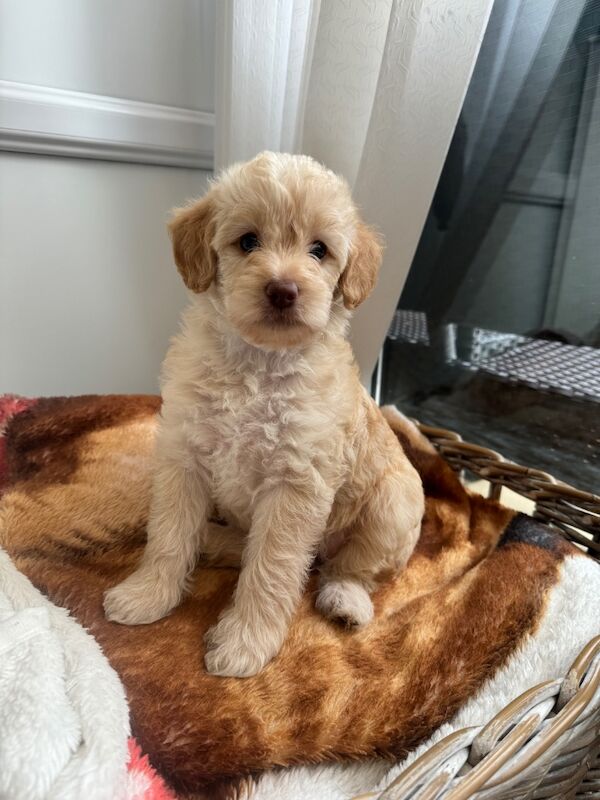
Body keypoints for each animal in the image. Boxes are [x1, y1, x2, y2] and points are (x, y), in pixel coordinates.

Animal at [105, 152, 426, 676]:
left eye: (319, 250)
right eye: (248, 241)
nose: (283, 290)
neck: (257, 364)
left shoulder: (294, 483)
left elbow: (271, 567)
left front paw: (245, 644)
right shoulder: (183, 457)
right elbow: (169, 536)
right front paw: (146, 595)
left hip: (392, 504)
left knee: (351, 567)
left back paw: (345, 600)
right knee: (252, 547)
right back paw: (213, 542)